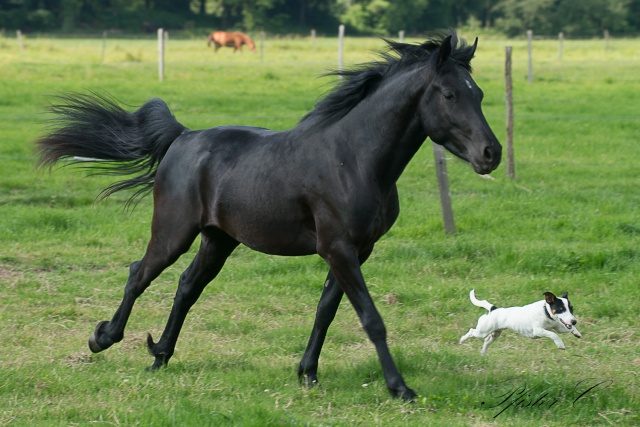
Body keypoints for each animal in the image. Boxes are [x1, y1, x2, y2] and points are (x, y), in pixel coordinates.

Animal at [36, 32, 500, 402]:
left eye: (478, 94)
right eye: (449, 94)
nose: (491, 153)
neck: (353, 158)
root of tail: (182, 137)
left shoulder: (357, 250)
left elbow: (326, 310)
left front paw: (307, 373)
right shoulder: (338, 247)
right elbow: (371, 318)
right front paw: (400, 388)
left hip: (218, 239)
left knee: (187, 287)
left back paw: (160, 356)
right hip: (173, 232)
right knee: (139, 273)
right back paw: (103, 338)